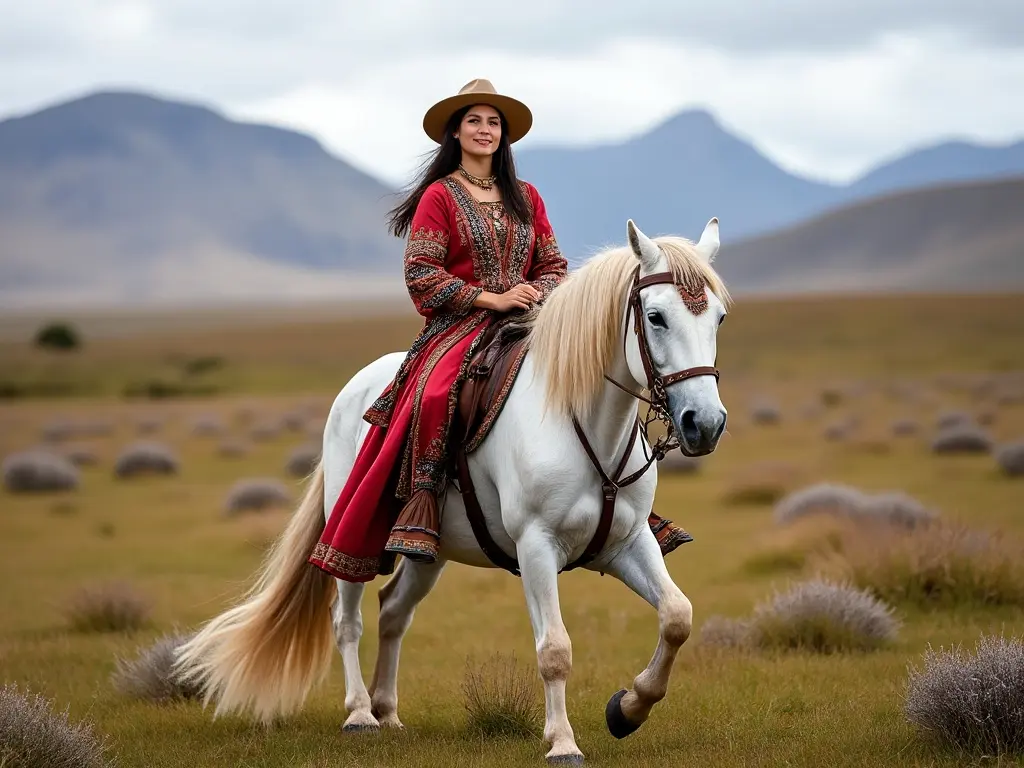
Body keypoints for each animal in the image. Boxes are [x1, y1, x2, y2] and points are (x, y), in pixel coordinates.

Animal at [178, 219, 737, 765]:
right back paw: (360, 714)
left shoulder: (627, 543)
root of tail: (355, 388)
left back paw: (387, 711)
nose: (704, 424)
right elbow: (554, 649)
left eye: (719, 318)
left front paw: (628, 709)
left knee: (393, 611)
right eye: (656, 317)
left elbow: (677, 617)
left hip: (428, 550)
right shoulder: (536, 547)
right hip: (351, 530)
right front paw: (562, 743)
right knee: (347, 619)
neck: (579, 419)